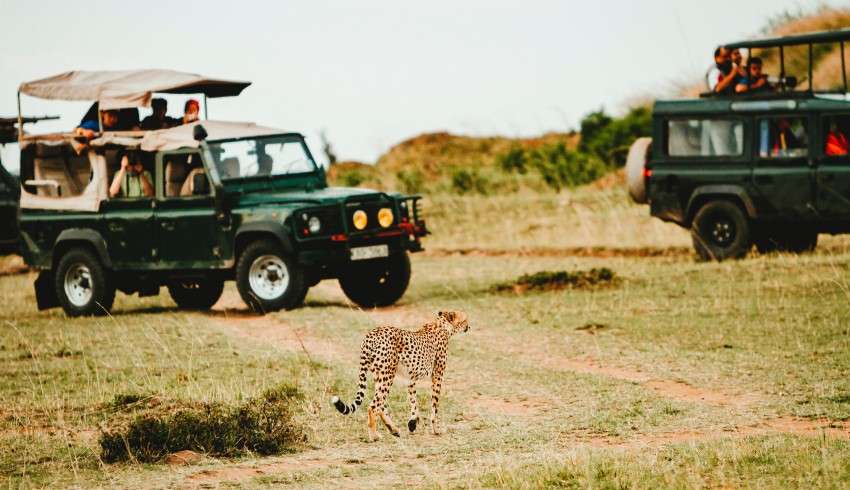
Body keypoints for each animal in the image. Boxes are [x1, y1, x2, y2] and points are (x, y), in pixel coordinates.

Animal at [330, 310, 470, 440]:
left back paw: (393, 430)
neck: (442, 325)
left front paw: (412, 423)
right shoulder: (437, 375)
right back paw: (374, 436)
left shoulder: (411, 379)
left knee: (381, 404)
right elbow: (434, 405)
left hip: (379, 375)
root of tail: (371, 334)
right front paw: (435, 429)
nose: (469, 326)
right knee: (373, 406)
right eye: (464, 320)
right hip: (388, 374)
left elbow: (414, 401)